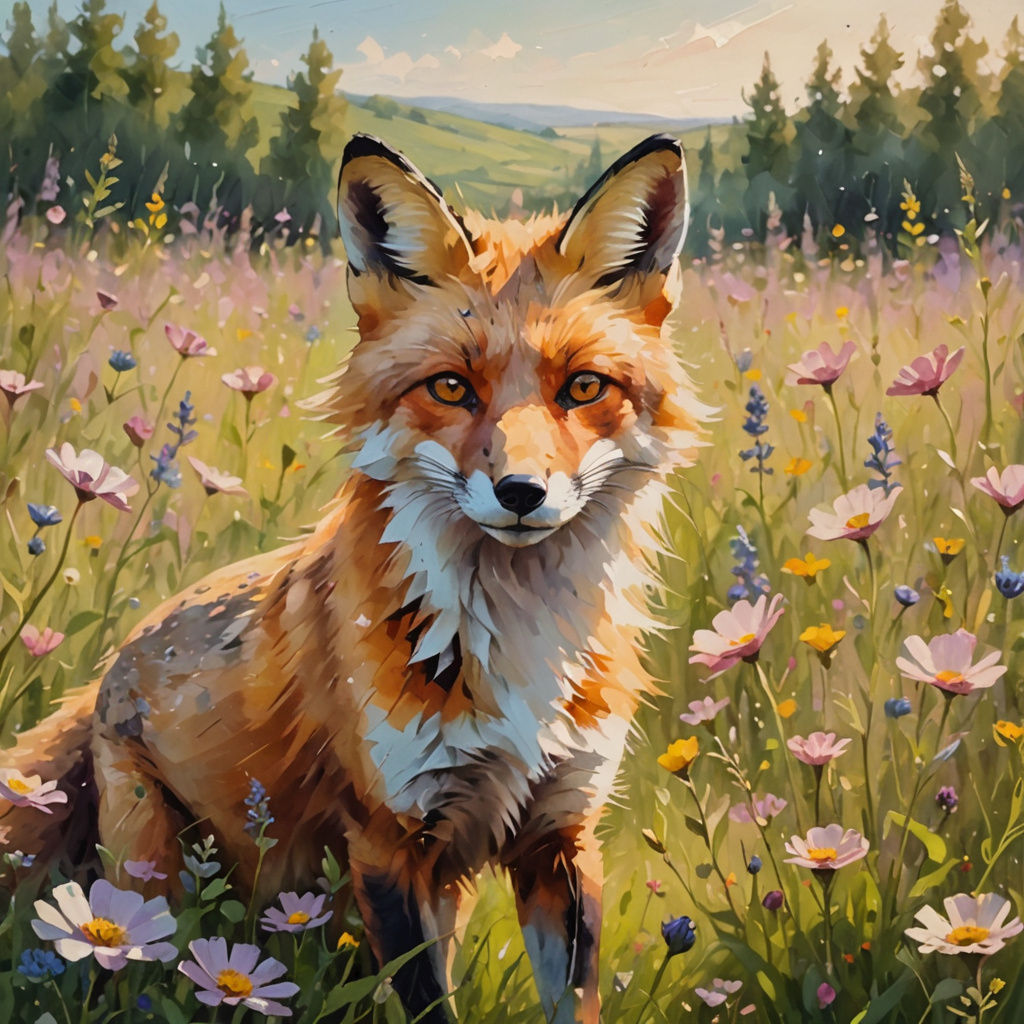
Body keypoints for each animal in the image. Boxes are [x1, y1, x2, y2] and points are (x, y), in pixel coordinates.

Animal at [1, 133, 708, 1023]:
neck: (518, 645)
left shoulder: (559, 836)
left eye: (583, 387)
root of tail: (105, 673)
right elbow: (427, 1003)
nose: (521, 493)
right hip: (151, 885)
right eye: (451, 387)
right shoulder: (386, 840)